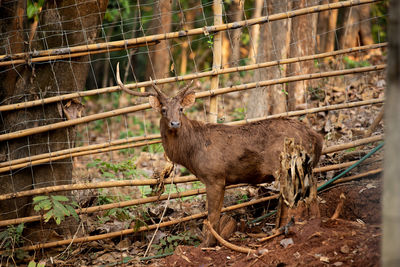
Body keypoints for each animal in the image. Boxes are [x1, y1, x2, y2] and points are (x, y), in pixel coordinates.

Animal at [115, 63, 322, 248]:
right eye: (164, 110)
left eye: (181, 109)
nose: (175, 123)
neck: (191, 154)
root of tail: (316, 136)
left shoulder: (214, 176)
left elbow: (212, 214)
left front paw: (207, 244)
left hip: (284, 165)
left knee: (292, 199)